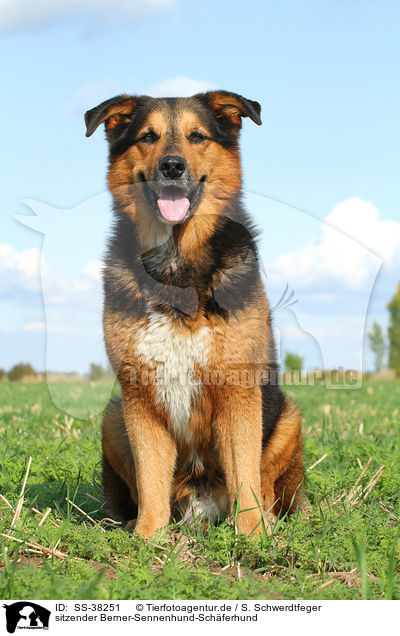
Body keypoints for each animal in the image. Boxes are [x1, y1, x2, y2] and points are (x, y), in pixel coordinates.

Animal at [85, 89, 304, 536]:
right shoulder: (139, 397)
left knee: (265, 485)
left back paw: (270, 521)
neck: (176, 263)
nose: (172, 166)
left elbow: (245, 477)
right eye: (147, 137)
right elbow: (151, 481)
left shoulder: (238, 391)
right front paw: (147, 539)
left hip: (288, 419)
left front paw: (252, 537)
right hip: (113, 420)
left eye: (198, 136)